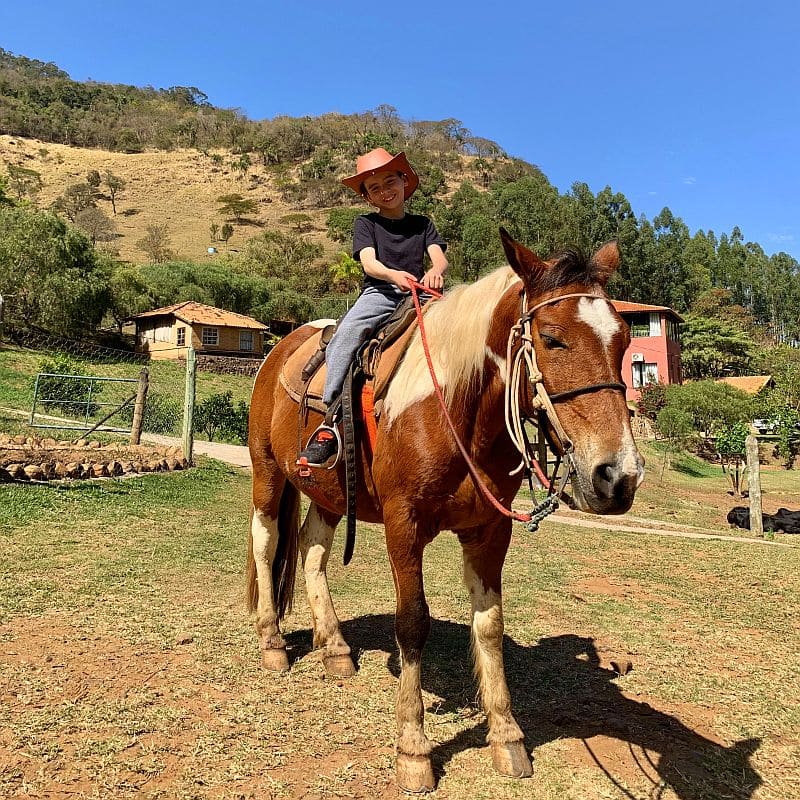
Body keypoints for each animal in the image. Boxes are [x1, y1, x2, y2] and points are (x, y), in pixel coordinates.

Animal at [247, 228, 648, 792]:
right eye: (551, 338)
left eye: (625, 341)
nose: (618, 476)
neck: (453, 408)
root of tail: (278, 349)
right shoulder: (403, 525)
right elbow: (412, 623)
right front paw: (413, 749)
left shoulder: (490, 530)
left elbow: (490, 625)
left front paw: (506, 736)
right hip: (267, 471)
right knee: (266, 544)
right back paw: (273, 642)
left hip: (329, 493)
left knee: (311, 552)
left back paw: (336, 648)